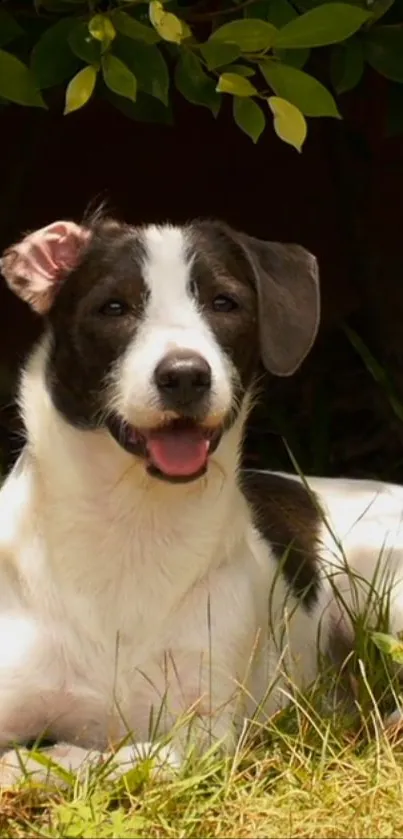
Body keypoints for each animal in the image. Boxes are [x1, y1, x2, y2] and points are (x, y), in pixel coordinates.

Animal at [0, 218, 403, 788]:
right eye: (113, 307)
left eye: (224, 303)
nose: (186, 374)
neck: (132, 528)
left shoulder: (206, 732)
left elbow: (127, 756)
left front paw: (43, 762)